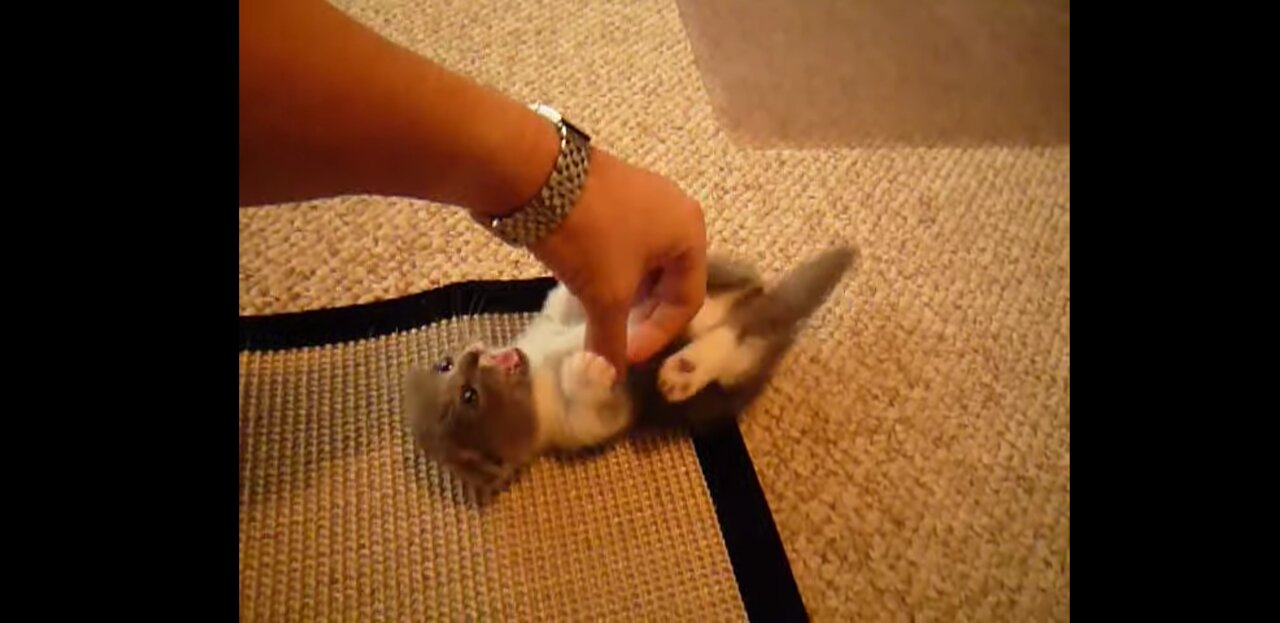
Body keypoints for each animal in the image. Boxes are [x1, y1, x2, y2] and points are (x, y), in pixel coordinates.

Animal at [404, 246, 855, 491]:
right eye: (469, 396)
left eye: (444, 364)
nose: (470, 357)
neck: (539, 370)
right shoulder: (590, 424)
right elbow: (595, 408)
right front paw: (589, 367)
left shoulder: (553, 319)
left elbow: (562, 302)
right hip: (730, 376)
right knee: (735, 337)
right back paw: (684, 368)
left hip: (718, 282)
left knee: (734, 283)